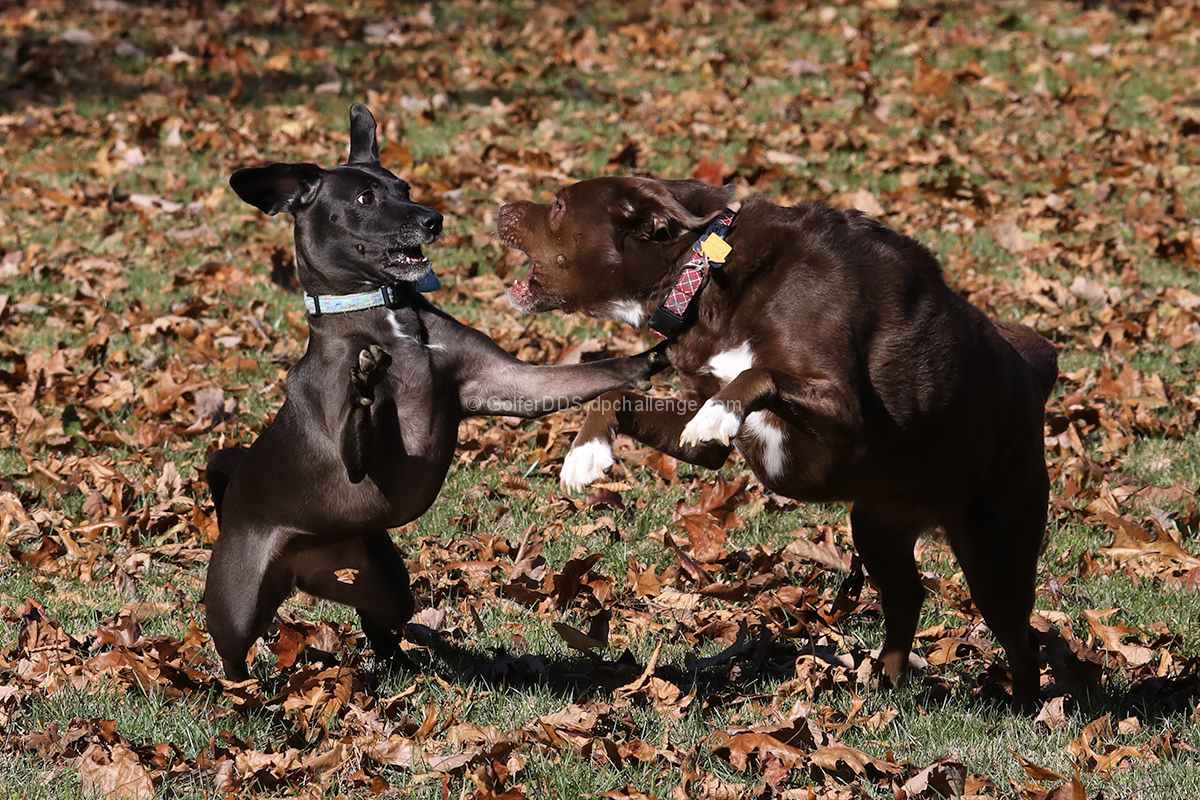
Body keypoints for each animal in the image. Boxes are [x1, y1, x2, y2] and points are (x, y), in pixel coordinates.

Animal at [206, 107, 672, 681]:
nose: (433, 219)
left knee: (382, 627)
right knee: (234, 657)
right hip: (239, 606)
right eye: (365, 199)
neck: (383, 313)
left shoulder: (508, 384)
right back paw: (244, 695)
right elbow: (357, 423)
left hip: (384, 582)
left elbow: (590, 373)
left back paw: (406, 664)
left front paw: (650, 358)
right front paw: (364, 380)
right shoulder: (354, 458)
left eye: (403, 187)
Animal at [496, 178, 1060, 710]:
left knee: (1020, 638)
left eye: (559, 205)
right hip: (878, 526)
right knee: (908, 596)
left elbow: (757, 374)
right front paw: (585, 452)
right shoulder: (705, 443)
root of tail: (1034, 375)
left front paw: (719, 411)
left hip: (997, 552)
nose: (501, 209)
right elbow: (619, 395)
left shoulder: (846, 412)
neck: (702, 272)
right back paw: (888, 680)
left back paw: (1022, 708)